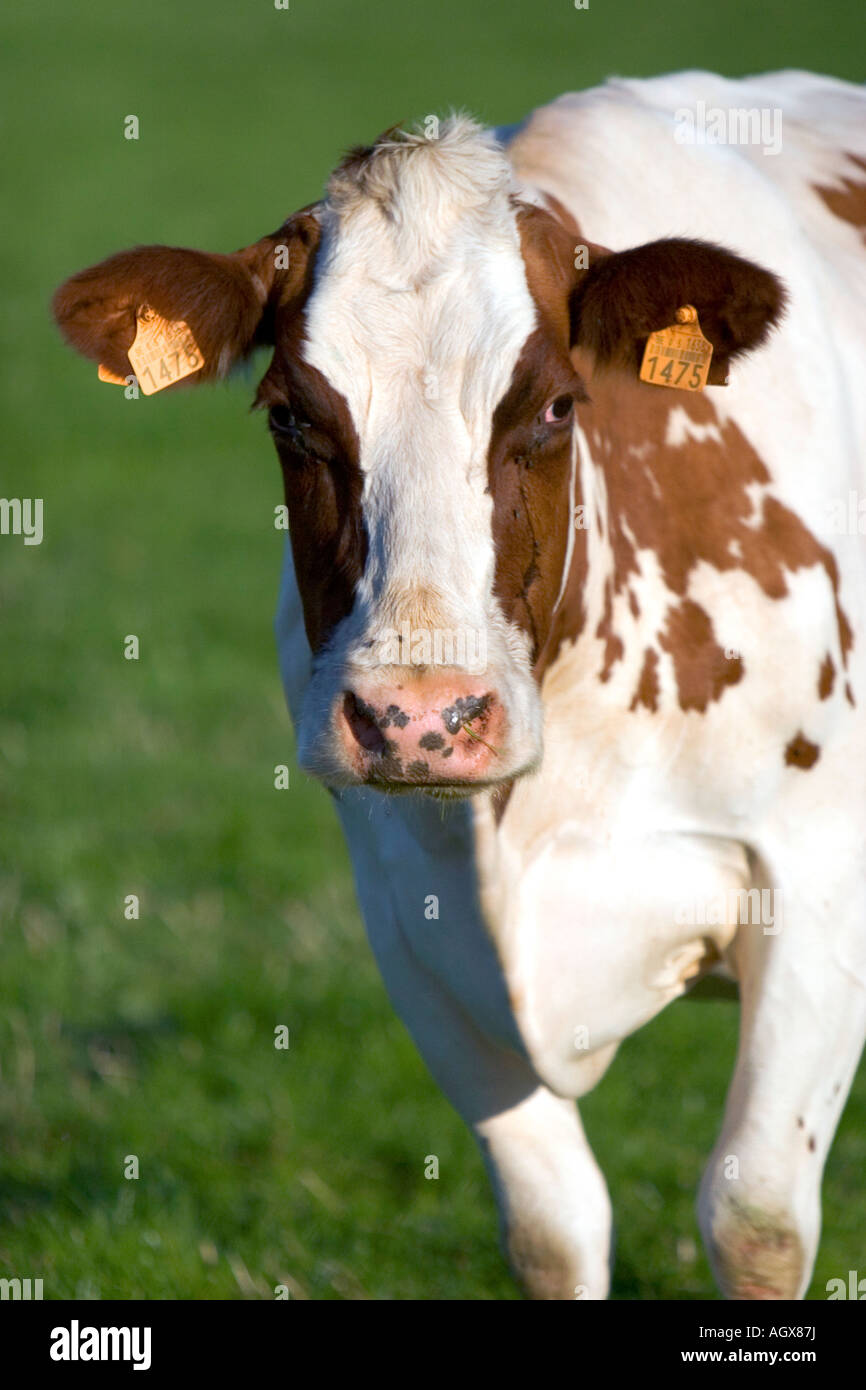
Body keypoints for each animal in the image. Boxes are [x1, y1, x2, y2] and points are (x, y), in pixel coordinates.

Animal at [53, 70, 866, 1300]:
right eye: (291, 414)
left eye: (554, 406)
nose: (420, 718)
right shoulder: (408, 915)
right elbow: (552, 1227)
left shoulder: (817, 879)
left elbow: (754, 1214)